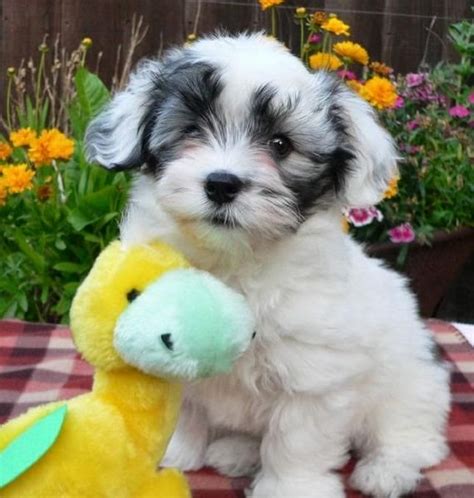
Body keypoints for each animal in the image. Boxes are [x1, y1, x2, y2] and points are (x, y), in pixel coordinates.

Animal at [86, 35, 452, 498]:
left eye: (281, 145)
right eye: (191, 131)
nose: (222, 183)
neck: (236, 260)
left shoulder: (314, 371)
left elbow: (297, 438)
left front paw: (292, 488)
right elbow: (186, 407)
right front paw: (177, 453)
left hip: (409, 384)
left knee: (412, 435)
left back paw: (387, 471)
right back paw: (237, 452)